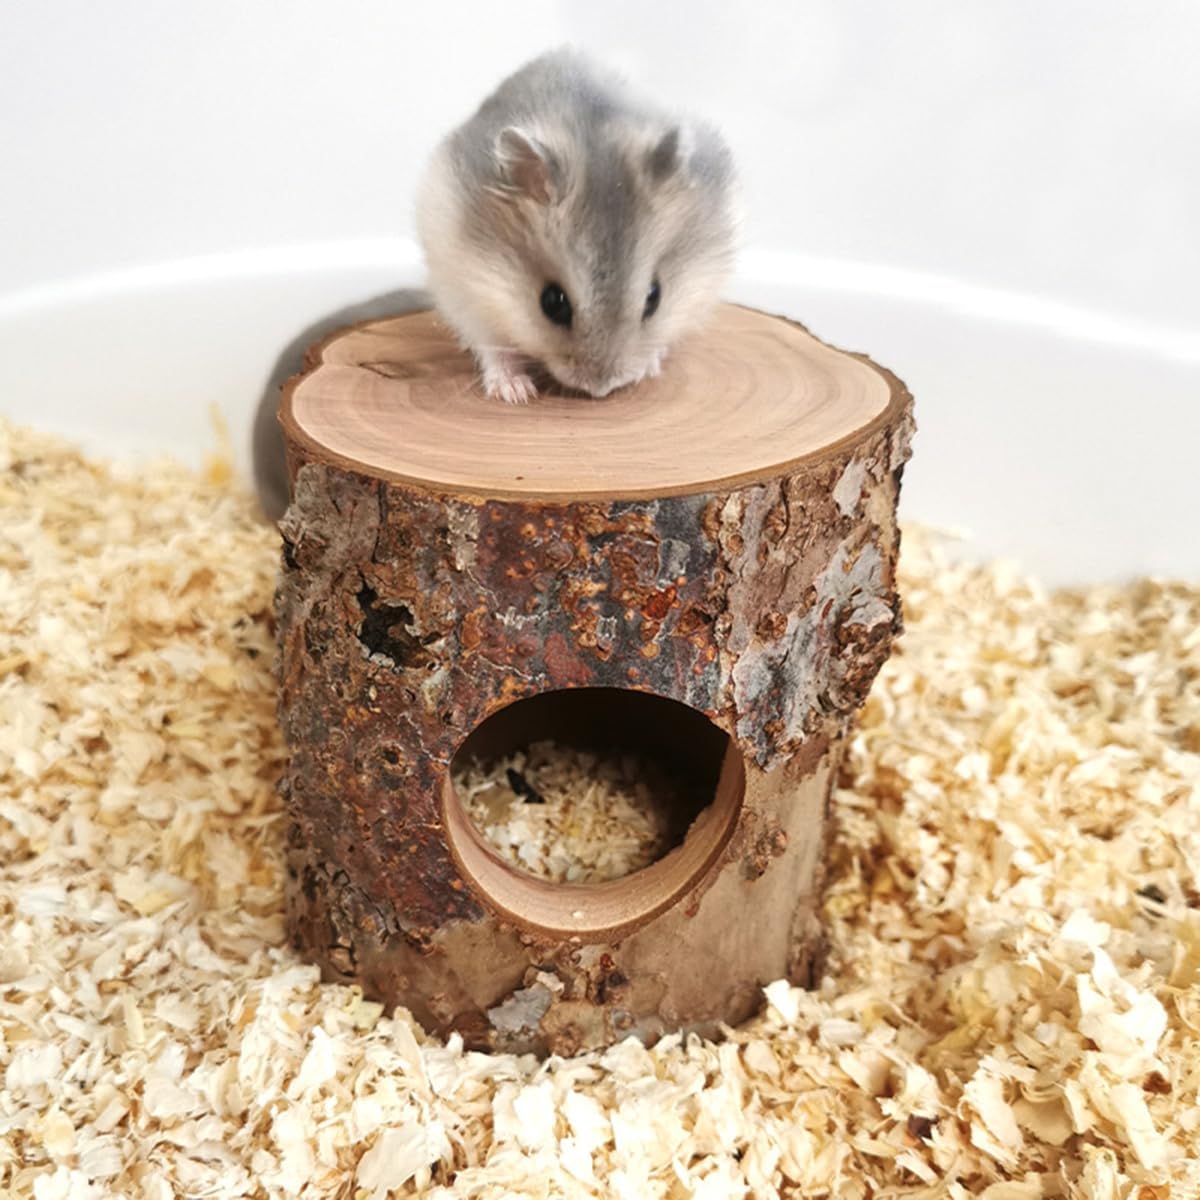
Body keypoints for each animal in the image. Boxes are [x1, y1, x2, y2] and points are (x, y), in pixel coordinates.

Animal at [416, 49, 740, 404]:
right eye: (552, 303)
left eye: (654, 298)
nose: (600, 390)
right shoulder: (469, 293)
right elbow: (494, 349)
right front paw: (517, 393)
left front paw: (647, 368)